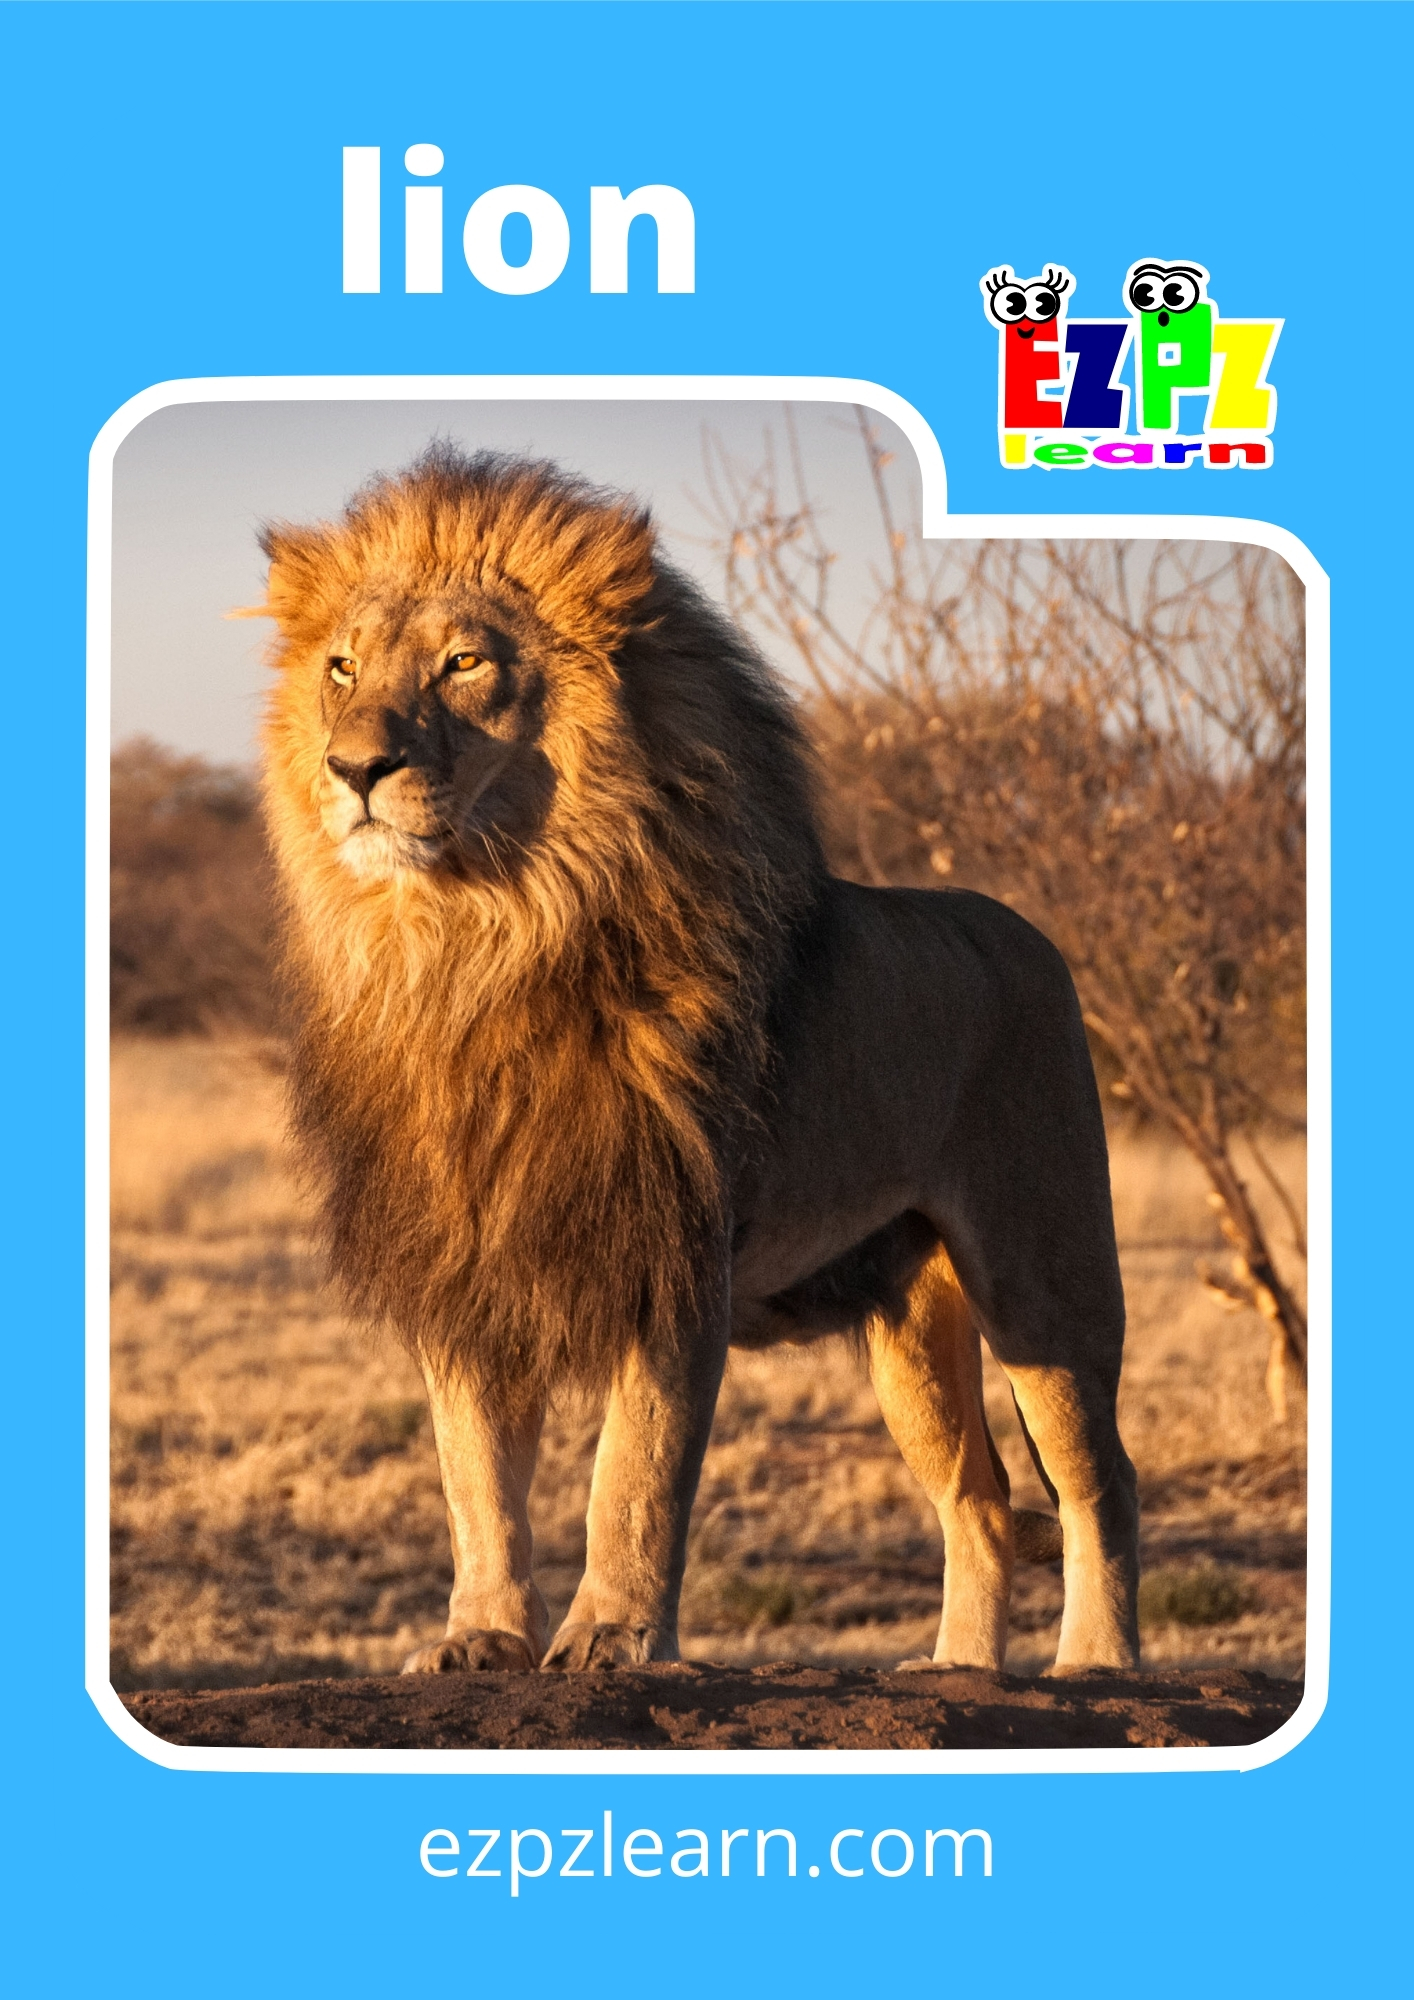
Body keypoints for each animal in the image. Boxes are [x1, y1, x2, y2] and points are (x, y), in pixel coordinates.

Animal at [255, 445, 1139, 1677]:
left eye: (465, 662)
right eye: (340, 667)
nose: (353, 767)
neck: (478, 947)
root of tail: (1030, 932)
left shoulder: (673, 1247)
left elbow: (634, 1470)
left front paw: (611, 1636)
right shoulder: (463, 1261)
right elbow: (474, 1476)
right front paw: (480, 1637)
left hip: (1042, 1273)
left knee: (1099, 1477)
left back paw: (1096, 1661)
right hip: (910, 1325)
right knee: (978, 1494)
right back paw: (959, 1666)